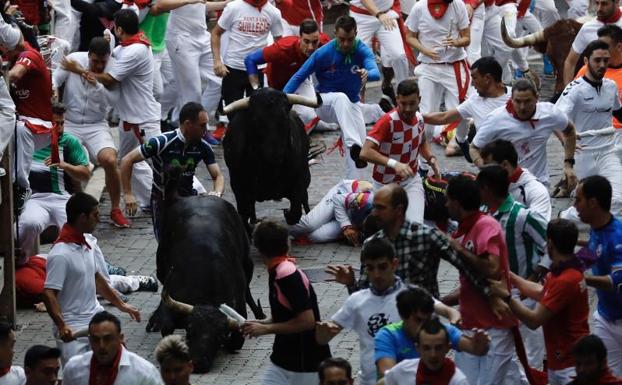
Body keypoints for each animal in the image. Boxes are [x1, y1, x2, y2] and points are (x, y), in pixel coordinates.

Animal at [147, 190, 266, 374]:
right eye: (190, 329)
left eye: (220, 336)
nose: (198, 363)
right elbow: (167, 327)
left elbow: (235, 342)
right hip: (160, 267)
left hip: (248, 263)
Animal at [223, 87, 322, 231]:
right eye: (256, 121)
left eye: (285, 118)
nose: (276, 155)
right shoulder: (238, 185)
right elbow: (243, 214)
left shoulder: (301, 178)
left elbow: (296, 210)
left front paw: (288, 213)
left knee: (305, 201)